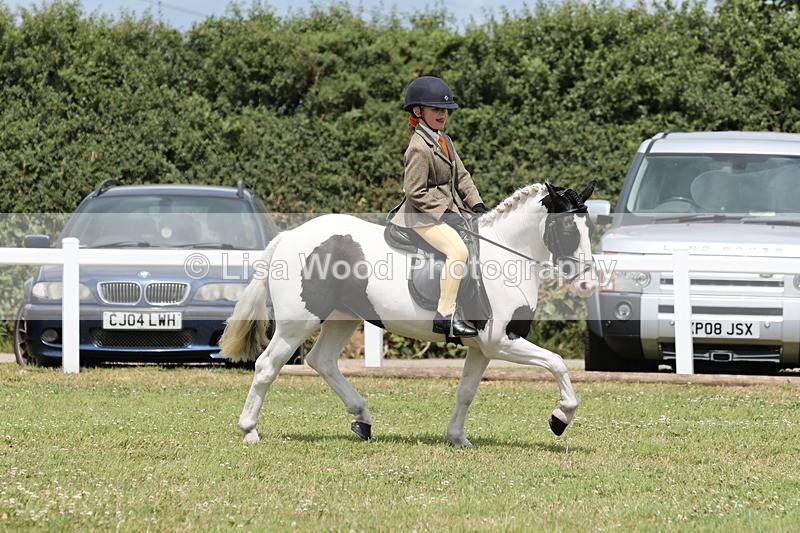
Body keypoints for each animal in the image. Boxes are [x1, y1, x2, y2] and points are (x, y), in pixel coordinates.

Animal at [219, 181, 599, 447]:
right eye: (568, 229)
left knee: (322, 361)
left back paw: (362, 419)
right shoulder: (501, 341)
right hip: (297, 324)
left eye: (589, 229)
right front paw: (560, 417)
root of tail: (289, 236)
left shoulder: (481, 349)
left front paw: (457, 437)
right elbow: (557, 363)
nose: (588, 284)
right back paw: (249, 431)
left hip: (343, 318)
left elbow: (466, 392)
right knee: (267, 367)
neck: (506, 255)